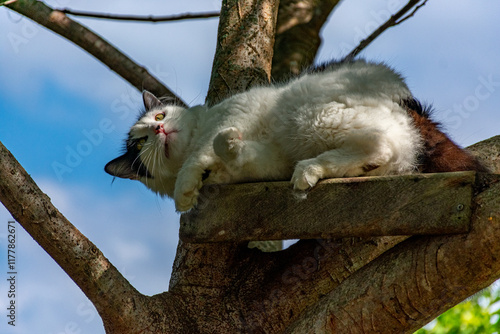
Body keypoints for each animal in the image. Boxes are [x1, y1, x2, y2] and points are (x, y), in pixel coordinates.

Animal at [104, 59, 484, 211]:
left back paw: (309, 170)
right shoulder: (265, 163)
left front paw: (185, 193)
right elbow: (231, 152)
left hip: (309, 116)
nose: (158, 128)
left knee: (382, 144)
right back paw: (311, 171)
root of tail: (412, 106)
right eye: (140, 142)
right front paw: (230, 148)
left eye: (159, 115)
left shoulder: (236, 112)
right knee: (381, 155)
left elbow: (207, 148)